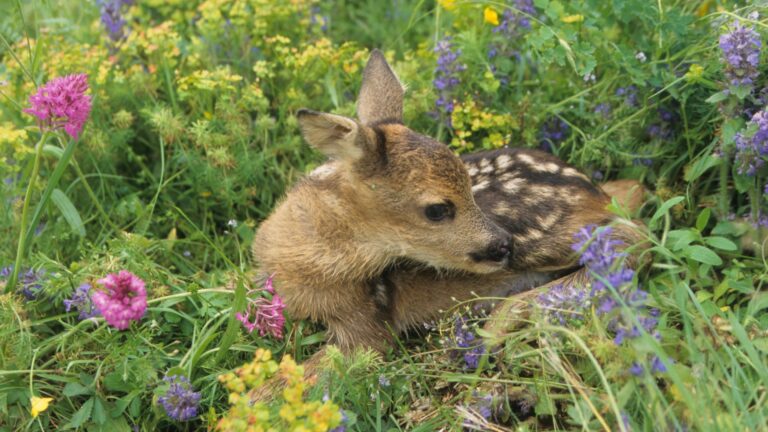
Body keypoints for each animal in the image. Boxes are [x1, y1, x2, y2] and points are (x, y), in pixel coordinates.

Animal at [253, 50, 644, 367]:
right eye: (437, 209)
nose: (503, 243)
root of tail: (591, 191)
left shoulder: (366, 324)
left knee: (632, 239)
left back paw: (498, 324)